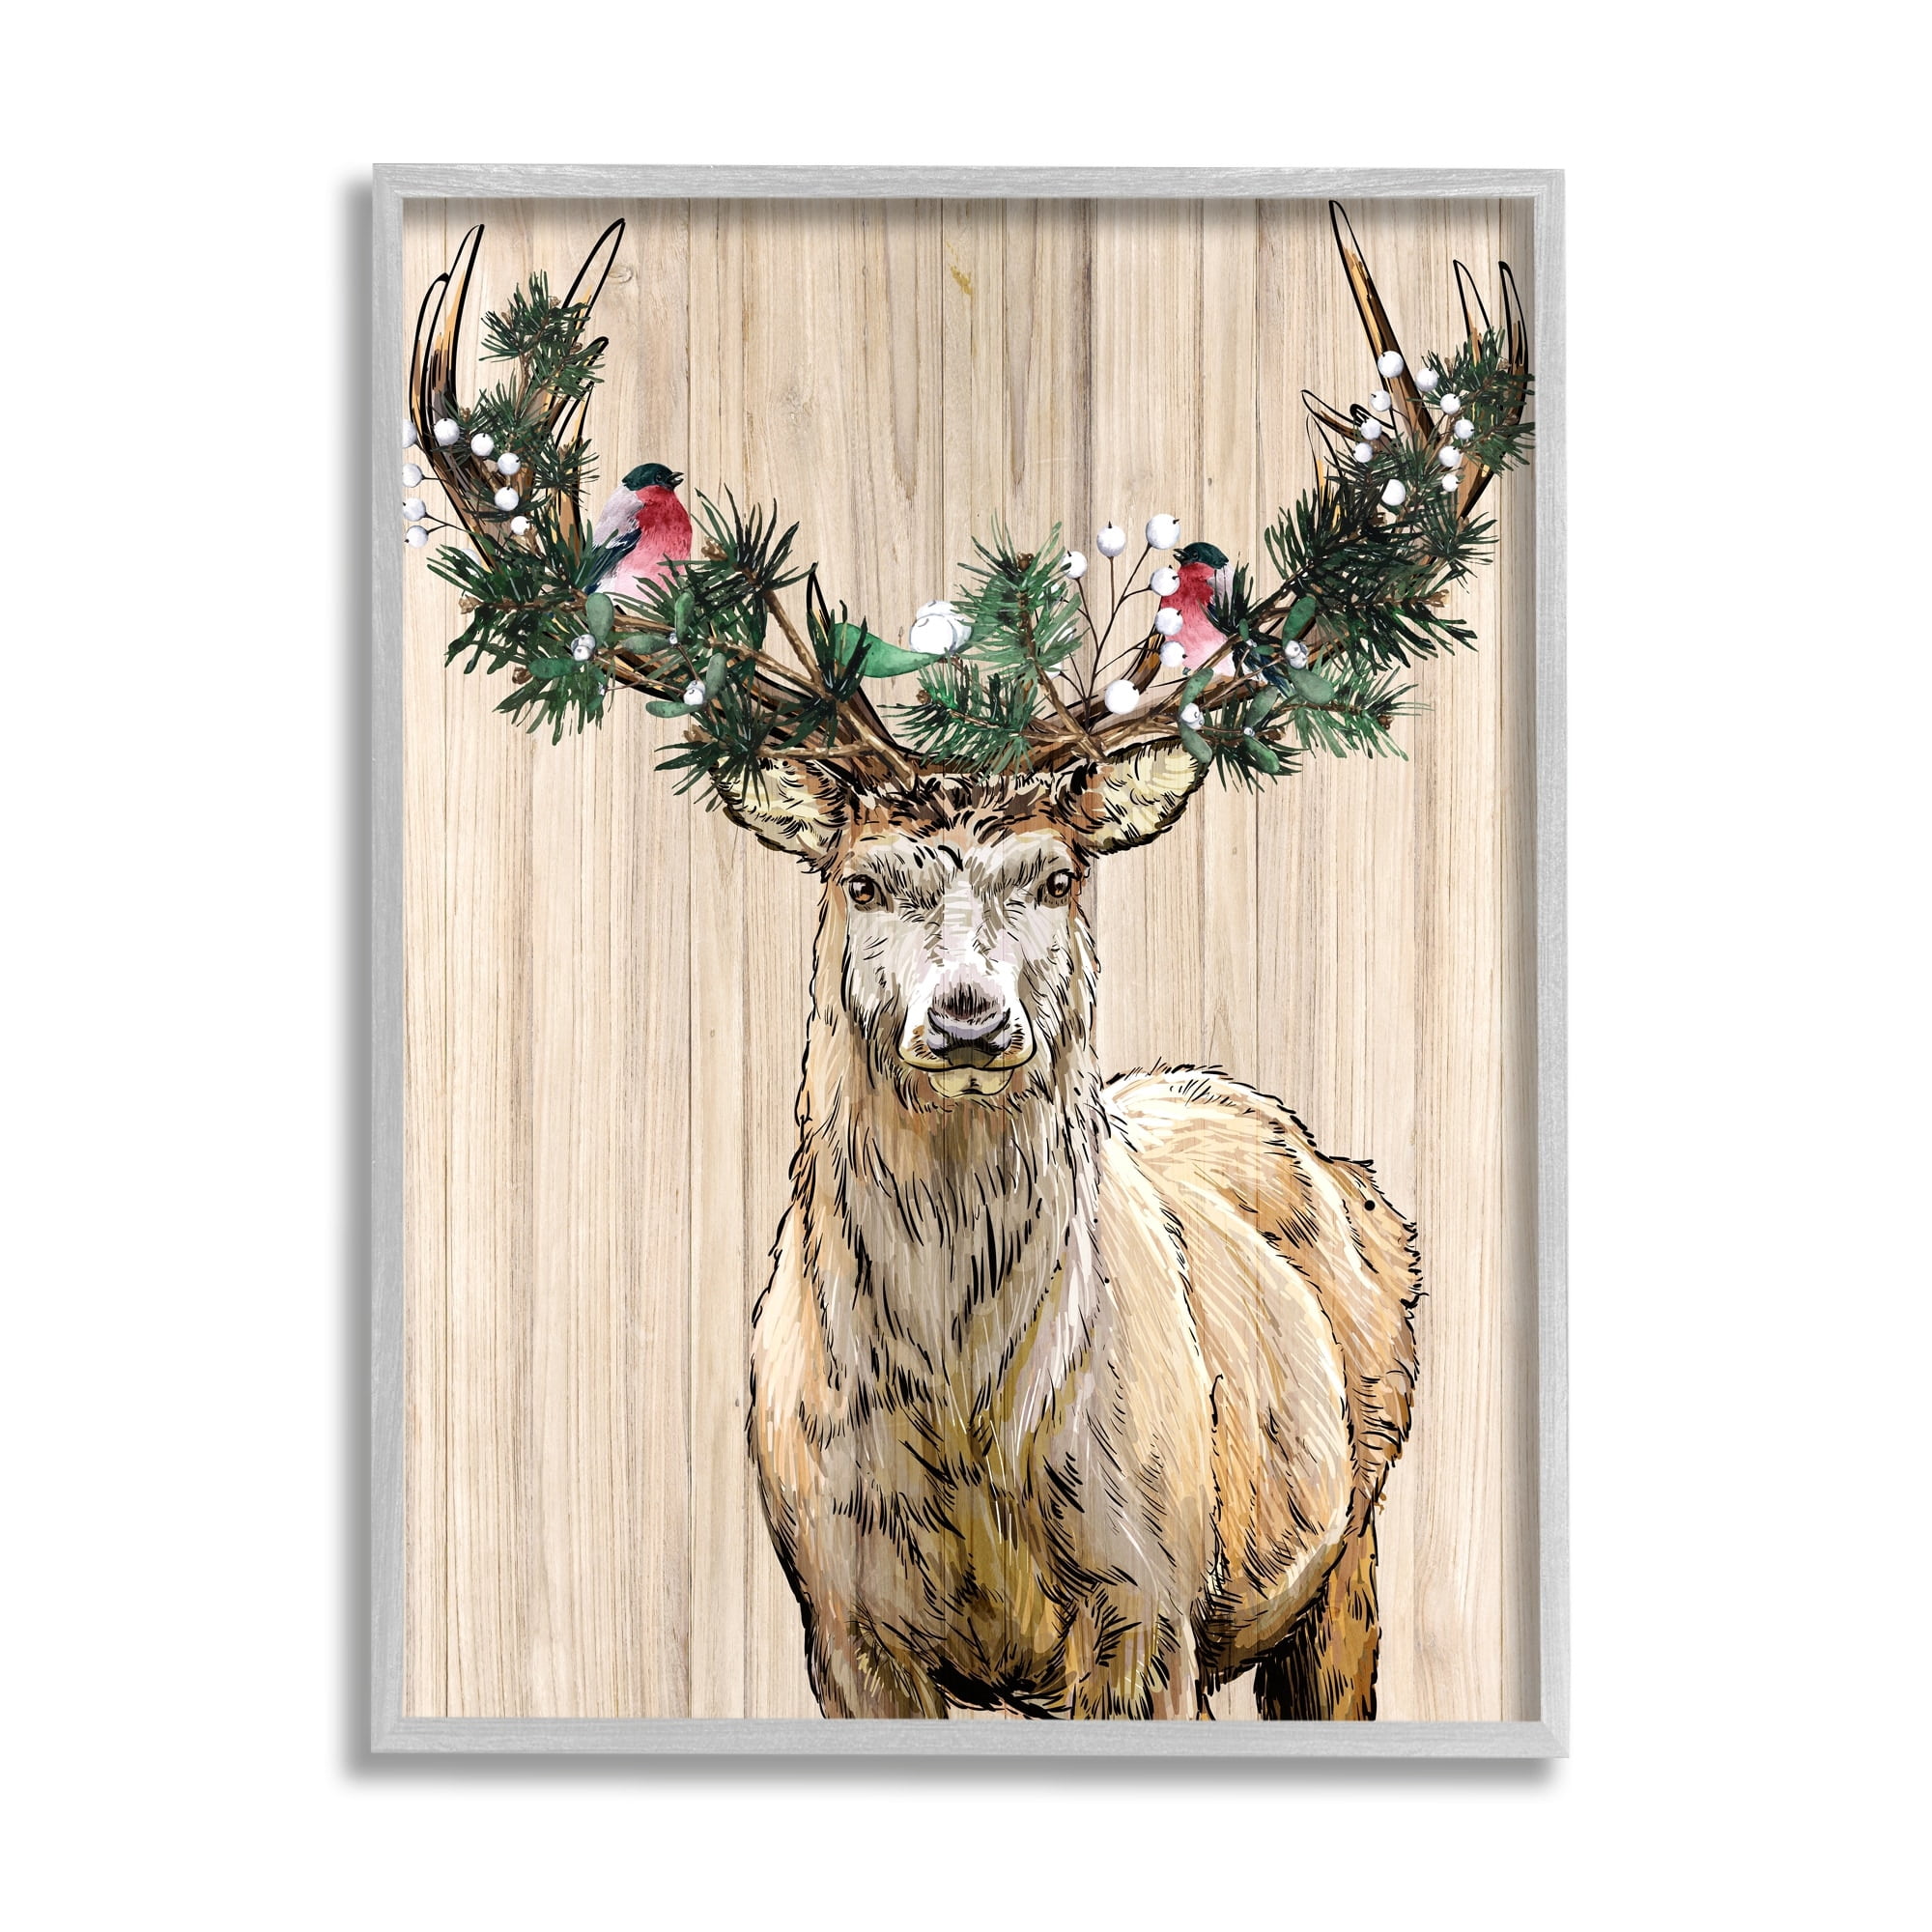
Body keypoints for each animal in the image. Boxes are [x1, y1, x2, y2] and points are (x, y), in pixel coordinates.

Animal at [408, 203, 1532, 1719]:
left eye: (1058, 874)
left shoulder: (1148, 1605)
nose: (965, 1017)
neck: (969, 1446)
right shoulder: (841, 1617)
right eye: (862, 877)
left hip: (1347, 1545)